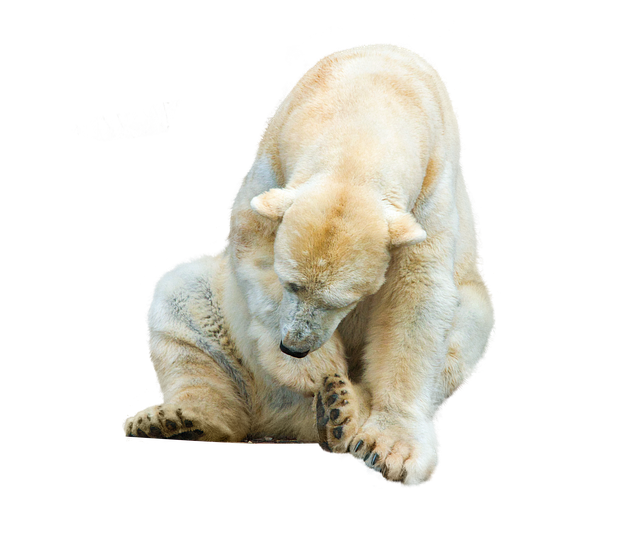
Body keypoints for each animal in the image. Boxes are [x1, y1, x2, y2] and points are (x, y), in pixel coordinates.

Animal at [122, 41, 496, 488]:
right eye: (292, 284)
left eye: (344, 301)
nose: (295, 347)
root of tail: (279, 421)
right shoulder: (271, 163)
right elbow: (254, 247)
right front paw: (316, 371)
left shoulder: (430, 193)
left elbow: (416, 295)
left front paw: (389, 449)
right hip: (226, 325)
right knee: (179, 297)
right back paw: (177, 418)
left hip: (472, 307)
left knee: (468, 324)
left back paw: (342, 410)